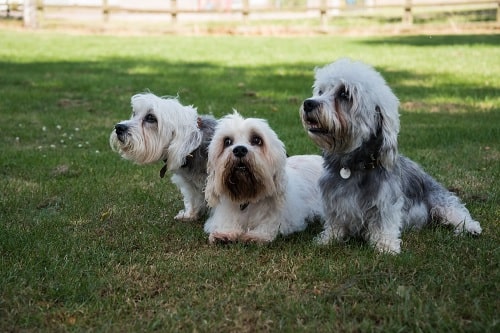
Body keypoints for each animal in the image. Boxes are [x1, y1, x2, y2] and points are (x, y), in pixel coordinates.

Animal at [204, 110, 324, 243]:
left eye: (257, 140)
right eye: (227, 141)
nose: (239, 150)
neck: (247, 198)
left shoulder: (283, 219)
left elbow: (269, 224)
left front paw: (256, 235)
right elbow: (226, 222)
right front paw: (225, 233)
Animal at [298, 58, 482, 253]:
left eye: (344, 94)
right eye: (320, 91)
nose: (308, 103)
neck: (352, 165)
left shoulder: (385, 203)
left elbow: (383, 224)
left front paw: (385, 246)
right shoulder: (334, 201)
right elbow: (335, 223)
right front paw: (328, 239)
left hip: (440, 201)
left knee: (457, 211)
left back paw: (471, 228)